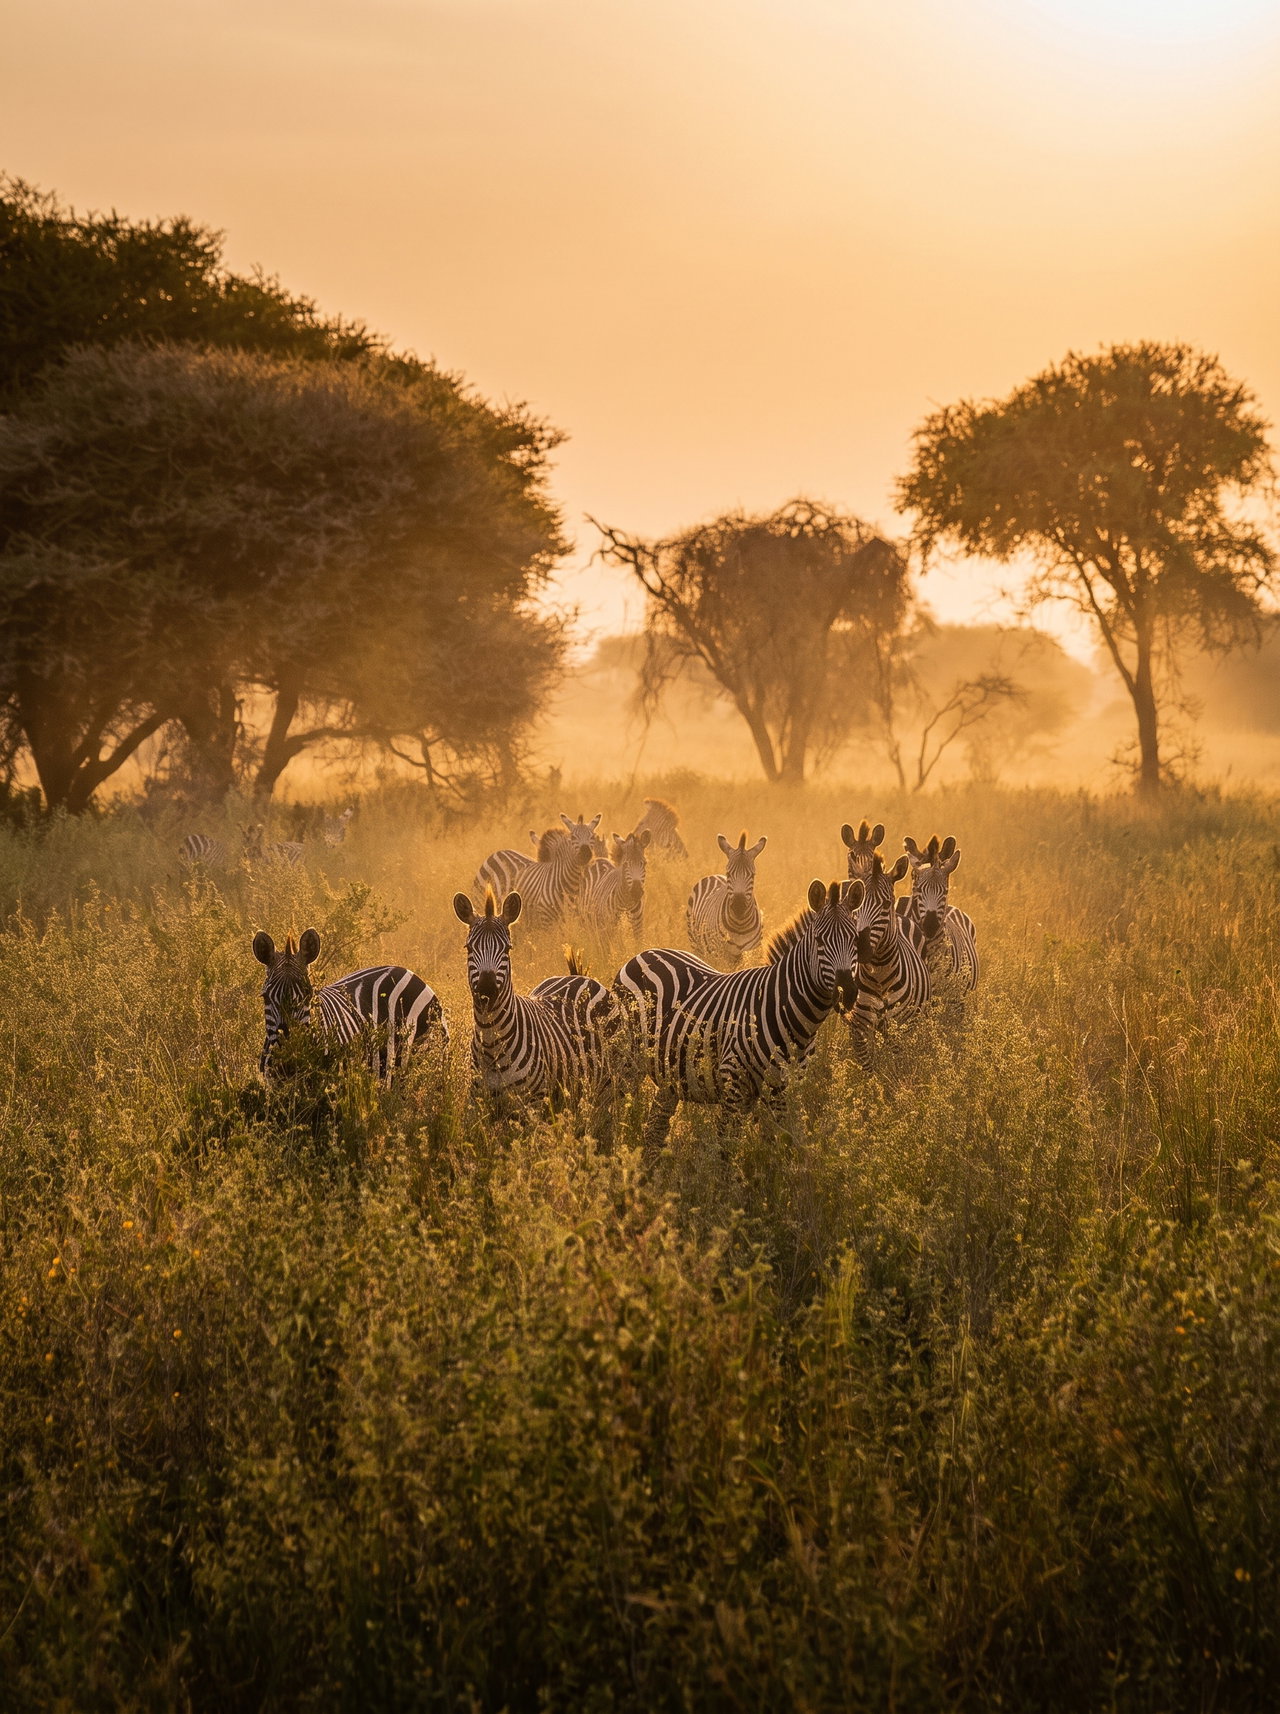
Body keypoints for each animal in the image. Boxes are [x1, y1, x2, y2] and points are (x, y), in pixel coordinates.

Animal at [452, 890, 621, 1112]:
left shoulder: (534, 1102)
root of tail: (579, 977)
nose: (487, 990)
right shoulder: (477, 1103)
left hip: (608, 1081)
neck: (491, 1043)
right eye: (469, 948)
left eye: (507, 949)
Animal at [615, 878, 862, 1147]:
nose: (846, 990)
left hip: (669, 1073)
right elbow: (726, 1146)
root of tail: (642, 954)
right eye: (818, 941)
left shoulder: (785, 1088)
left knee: (654, 1129)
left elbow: (785, 1143)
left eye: (856, 939)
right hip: (625, 1062)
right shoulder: (732, 1082)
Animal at [686, 832, 767, 969]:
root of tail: (714, 875)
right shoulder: (722, 954)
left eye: (752, 875)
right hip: (697, 946)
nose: (739, 906)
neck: (740, 925)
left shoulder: (752, 952)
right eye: (729, 874)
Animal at [846, 853, 931, 1070]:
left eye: (885, 904)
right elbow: (868, 1068)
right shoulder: (860, 1028)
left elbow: (898, 1068)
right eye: (856, 905)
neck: (879, 975)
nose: (861, 949)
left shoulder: (900, 1027)